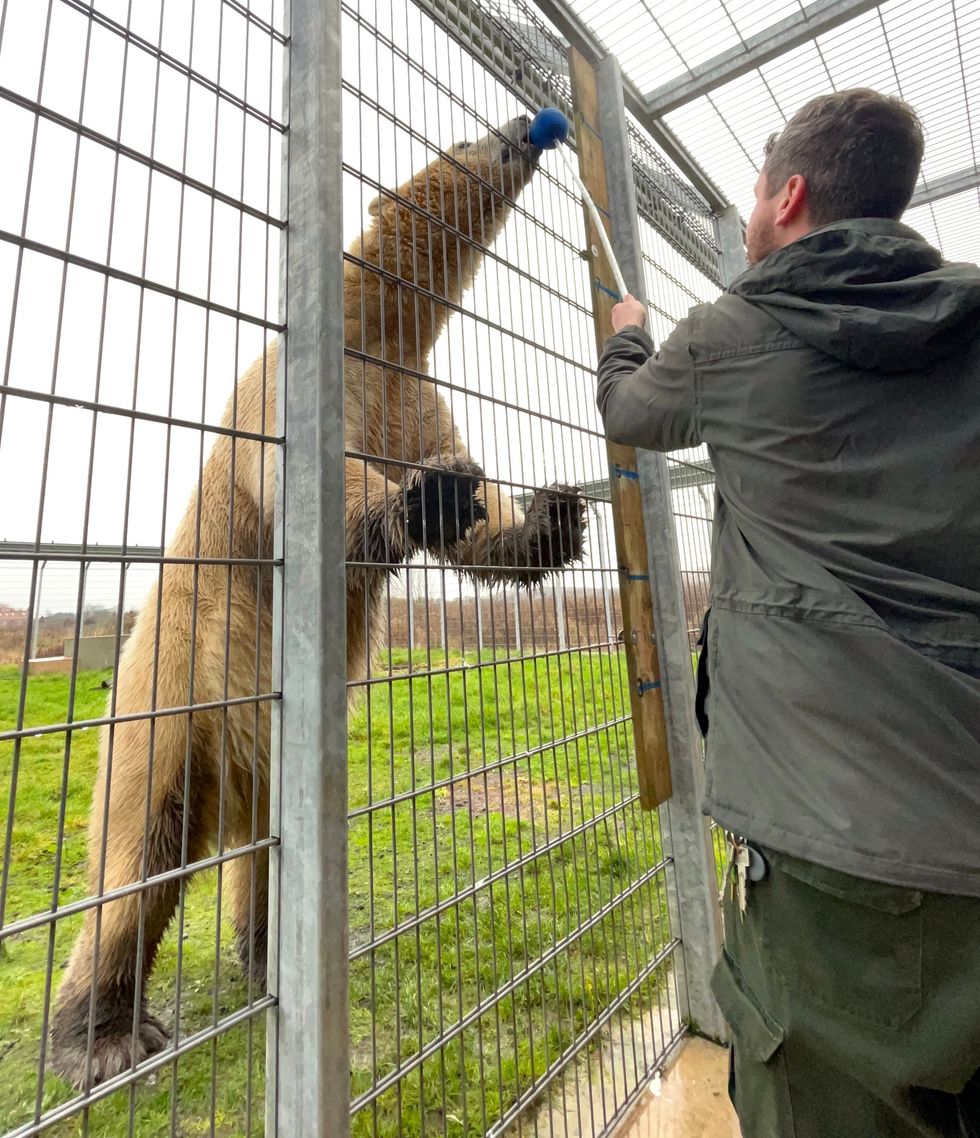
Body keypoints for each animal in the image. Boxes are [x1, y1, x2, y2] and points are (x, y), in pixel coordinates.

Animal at [50, 113, 586, 1091]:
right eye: (465, 140)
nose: (526, 129)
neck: (375, 333)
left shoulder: (410, 393)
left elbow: (480, 536)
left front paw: (551, 514)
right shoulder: (294, 388)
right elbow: (320, 492)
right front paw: (429, 496)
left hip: (273, 761)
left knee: (269, 865)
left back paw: (274, 951)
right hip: (170, 694)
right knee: (135, 857)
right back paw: (105, 1035)